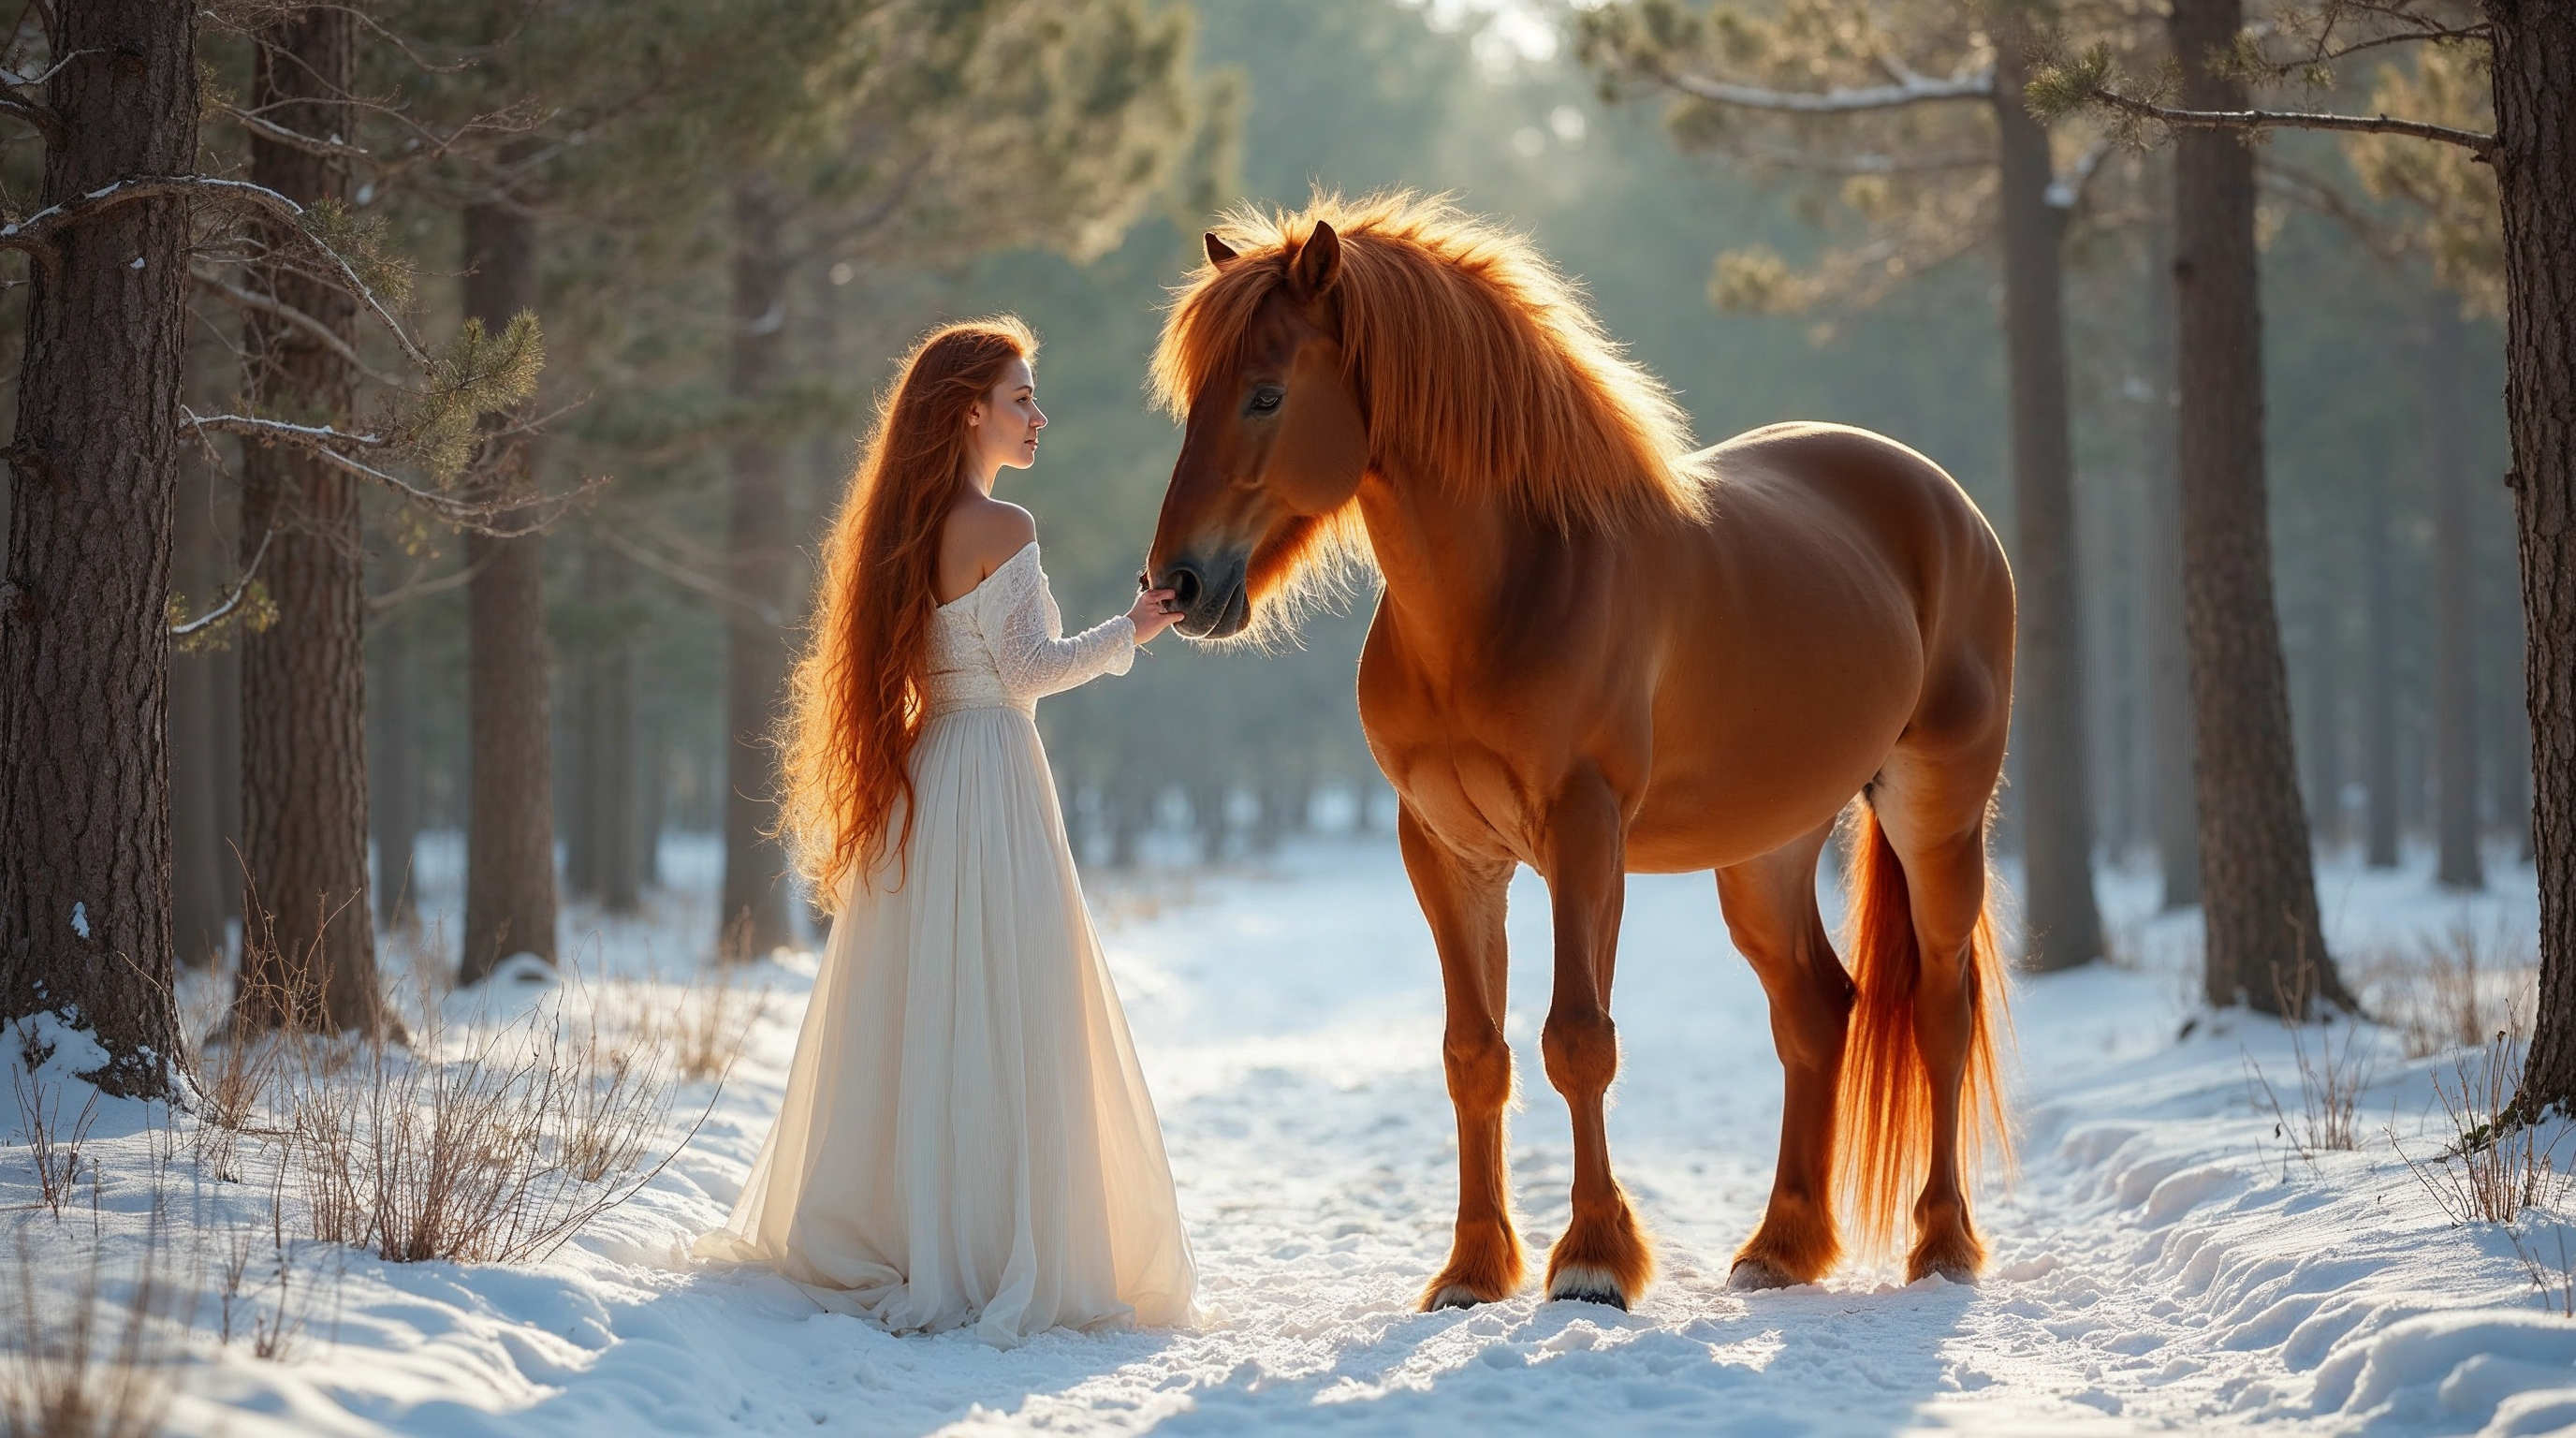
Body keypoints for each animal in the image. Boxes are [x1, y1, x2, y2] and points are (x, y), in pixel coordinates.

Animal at [1143, 192, 2015, 1311]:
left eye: (1263, 394)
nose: (1177, 584)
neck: (1509, 588)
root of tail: (1946, 505)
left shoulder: (1585, 835)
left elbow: (1577, 1038)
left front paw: (1594, 1259)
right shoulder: (1447, 850)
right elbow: (1474, 1053)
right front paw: (1472, 1270)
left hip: (1935, 812)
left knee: (1943, 1009)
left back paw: (1941, 1245)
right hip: (1766, 849)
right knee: (1818, 1011)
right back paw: (1778, 1247)